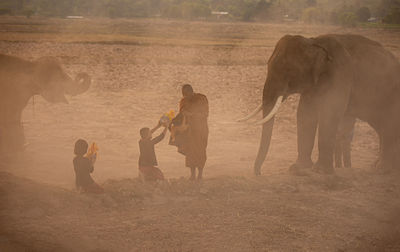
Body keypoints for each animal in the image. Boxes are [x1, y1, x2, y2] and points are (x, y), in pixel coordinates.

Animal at [239, 33, 398, 174]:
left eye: (288, 71)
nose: (259, 173)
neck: (313, 42)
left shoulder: (340, 75)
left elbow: (330, 112)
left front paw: (320, 171)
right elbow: (305, 113)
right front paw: (297, 169)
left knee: (388, 125)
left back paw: (382, 169)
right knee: (382, 127)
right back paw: (381, 167)